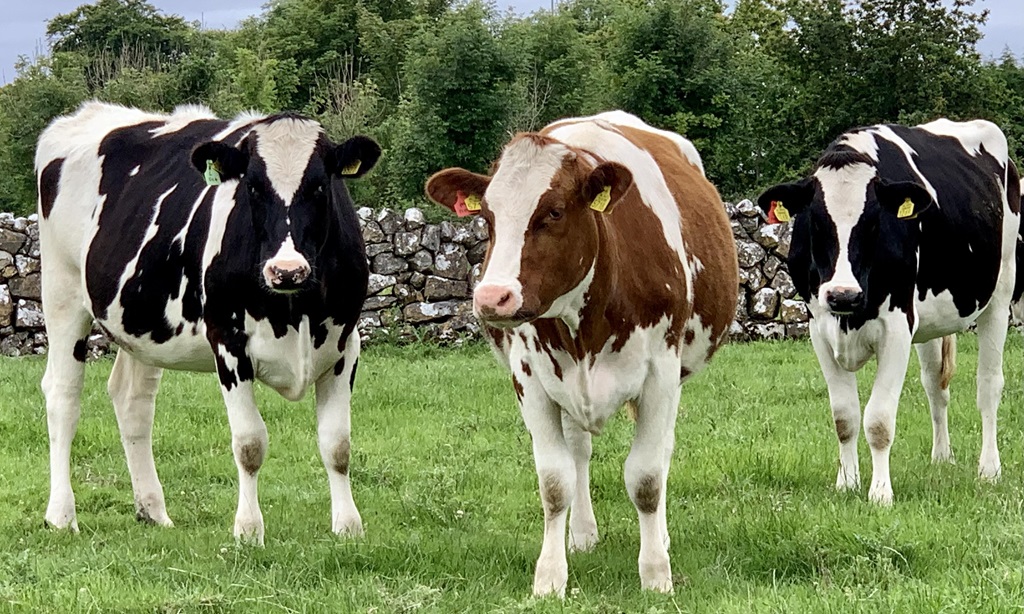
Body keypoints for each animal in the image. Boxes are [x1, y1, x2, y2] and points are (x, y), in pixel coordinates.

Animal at [35, 101, 380, 544]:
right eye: (252, 187)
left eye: (321, 186)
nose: (287, 270)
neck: (294, 310)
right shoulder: (228, 343)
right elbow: (250, 444)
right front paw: (248, 530)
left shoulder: (346, 342)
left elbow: (337, 445)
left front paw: (348, 527)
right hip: (61, 293)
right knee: (63, 396)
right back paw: (62, 515)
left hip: (142, 321)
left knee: (133, 400)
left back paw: (153, 510)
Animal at [425, 111, 738, 596]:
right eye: (488, 217)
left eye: (553, 211)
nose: (493, 298)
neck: (585, 321)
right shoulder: (530, 379)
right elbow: (556, 482)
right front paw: (550, 577)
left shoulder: (660, 374)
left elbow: (647, 478)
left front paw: (656, 574)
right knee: (580, 452)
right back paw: (584, 534)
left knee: (663, 449)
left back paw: (661, 538)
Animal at [757, 119, 1022, 506]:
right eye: (817, 222)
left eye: (872, 222)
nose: (843, 295)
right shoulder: (819, 328)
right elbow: (844, 417)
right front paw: (847, 482)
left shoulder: (896, 327)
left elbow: (879, 420)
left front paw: (880, 493)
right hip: (930, 320)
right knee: (935, 385)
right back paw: (941, 458)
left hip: (1000, 294)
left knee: (988, 385)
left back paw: (989, 469)